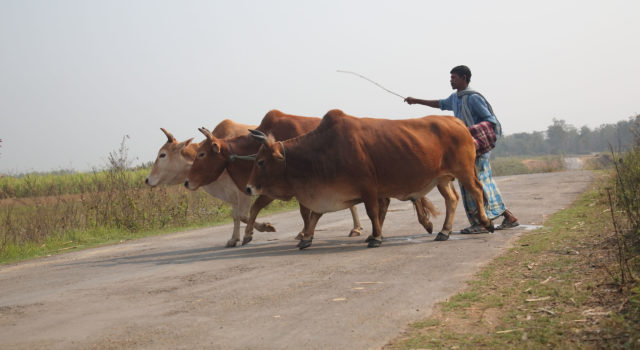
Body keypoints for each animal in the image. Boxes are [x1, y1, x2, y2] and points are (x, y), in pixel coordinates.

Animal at [248, 109, 492, 249]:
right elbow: (316, 215)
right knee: (452, 199)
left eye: (261, 162)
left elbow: (373, 212)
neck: (321, 150)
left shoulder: (368, 188)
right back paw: (444, 232)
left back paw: (486, 223)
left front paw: (375, 238)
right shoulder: (326, 191)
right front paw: (307, 238)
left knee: (477, 191)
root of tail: (456, 121)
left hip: (464, 172)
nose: (249, 188)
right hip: (442, 179)